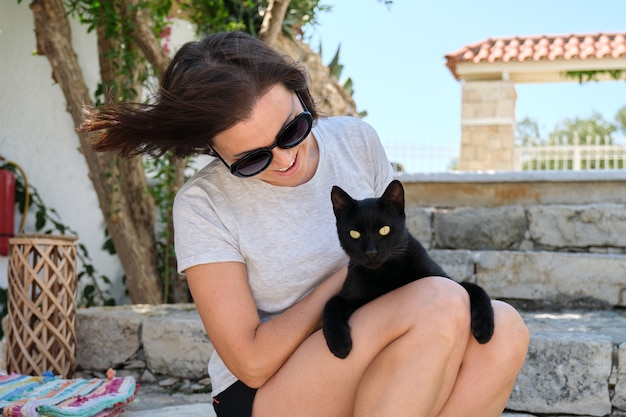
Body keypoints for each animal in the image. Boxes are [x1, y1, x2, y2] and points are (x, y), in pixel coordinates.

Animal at [322, 179, 492, 358]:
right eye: (354, 234)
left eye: (384, 230)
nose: (370, 252)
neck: (385, 273)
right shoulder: (349, 295)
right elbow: (331, 303)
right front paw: (339, 344)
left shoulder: (445, 279)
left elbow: (475, 288)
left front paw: (484, 328)